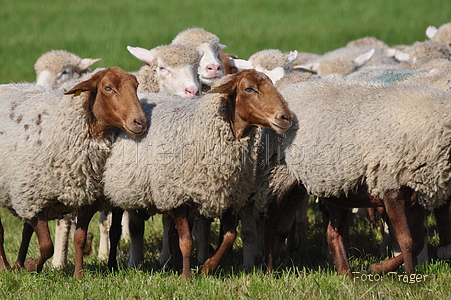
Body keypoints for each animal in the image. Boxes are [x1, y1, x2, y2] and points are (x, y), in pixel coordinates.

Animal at [0, 67, 147, 276]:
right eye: (108, 88)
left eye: (136, 86)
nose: (140, 122)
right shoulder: (34, 199)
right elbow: (47, 246)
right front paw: (33, 265)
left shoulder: (85, 198)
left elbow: (79, 238)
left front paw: (79, 275)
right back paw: (5, 266)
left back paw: (16, 266)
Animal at [103, 69, 294, 278]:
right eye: (249, 89)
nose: (286, 118)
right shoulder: (178, 197)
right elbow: (187, 241)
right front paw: (187, 277)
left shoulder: (225, 196)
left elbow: (230, 235)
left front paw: (206, 268)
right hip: (117, 189)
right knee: (115, 229)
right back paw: (112, 265)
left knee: (171, 234)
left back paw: (174, 266)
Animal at [270, 79, 451, 278]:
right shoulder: (391, 187)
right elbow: (407, 240)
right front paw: (410, 277)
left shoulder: (416, 194)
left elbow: (418, 241)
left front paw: (380, 267)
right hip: (276, 178)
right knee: (272, 224)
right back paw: (269, 270)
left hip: (337, 189)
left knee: (332, 235)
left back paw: (347, 276)